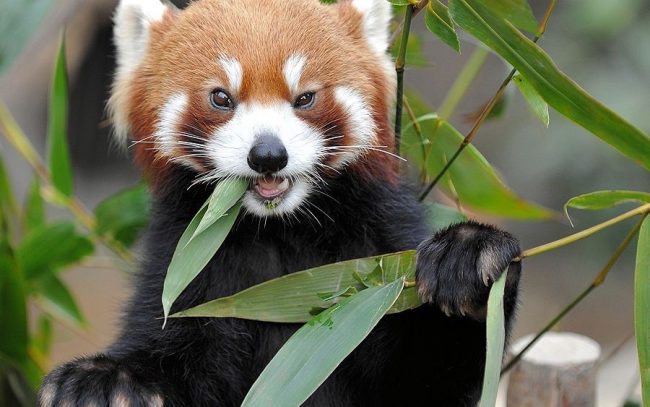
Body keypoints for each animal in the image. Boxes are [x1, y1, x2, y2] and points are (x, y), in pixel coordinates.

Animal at [39, 0, 521, 405]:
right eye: (221, 97)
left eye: (305, 97)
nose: (268, 154)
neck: (280, 232)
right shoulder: (186, 267)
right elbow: (173, 355)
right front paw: (106, 377)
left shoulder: (379, 255)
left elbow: (429, 371)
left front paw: (468, 257)